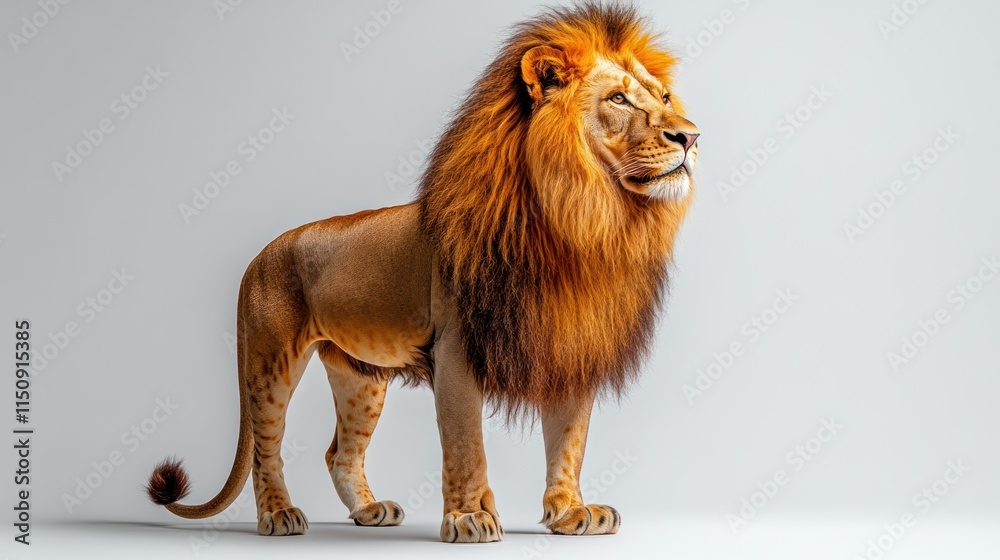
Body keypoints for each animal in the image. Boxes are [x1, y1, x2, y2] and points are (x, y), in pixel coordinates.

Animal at [146, 2, 699, 543]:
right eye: (619, 100)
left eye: (665, 96)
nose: (691, 136)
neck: (585, 222)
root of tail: (260, 255)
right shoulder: (456, 350)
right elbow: (465, 444)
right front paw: (469, 518)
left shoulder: (571, 347)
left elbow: (569, 441)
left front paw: (569, 512)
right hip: (270, 361)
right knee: (268, 449)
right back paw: (279, 515)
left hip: (358, 377)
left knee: (339, 453)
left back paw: (369, 511)